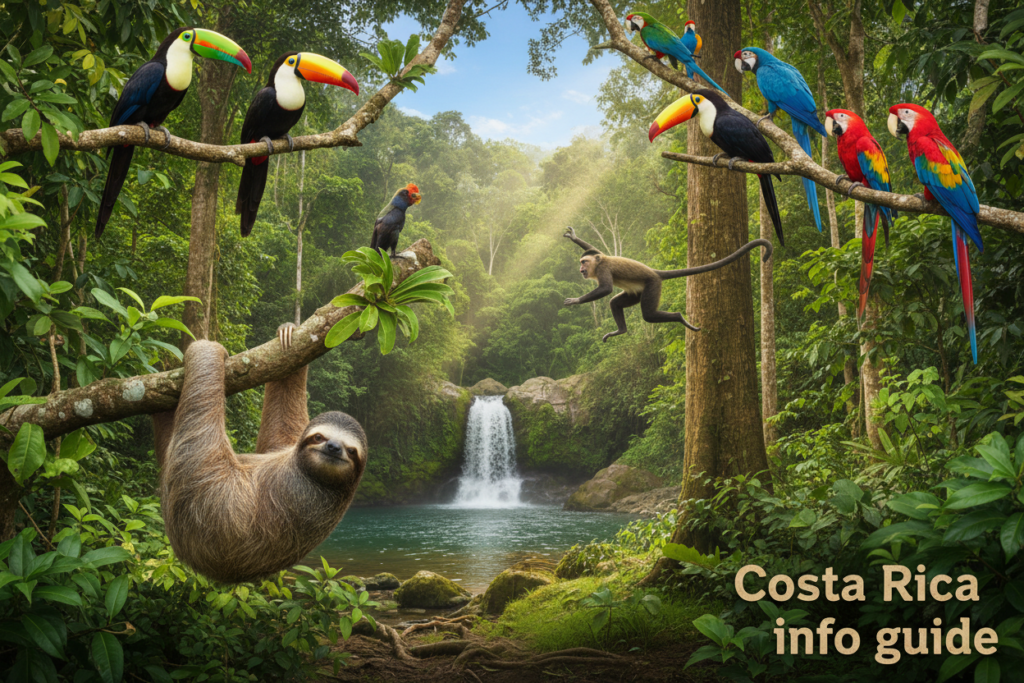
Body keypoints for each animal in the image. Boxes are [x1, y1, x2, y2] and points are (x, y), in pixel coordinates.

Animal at [152, 323, 367, 583]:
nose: (333, 448)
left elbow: (204, 466)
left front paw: (209, 350)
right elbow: (278, 434)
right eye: (319, 437)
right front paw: (289, 334)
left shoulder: (283, 487)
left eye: (351, 451)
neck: (314, 478)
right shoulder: (284, 454)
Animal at [562, 227, 772, 341]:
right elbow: (594, 248)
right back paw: (621, 330)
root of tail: (655, 272)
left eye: (583, 262)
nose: (580, 269)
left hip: (652, 285)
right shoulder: (600, 257)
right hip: (636, 293)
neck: (598, 265)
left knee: (648, 314)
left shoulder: (604, 267)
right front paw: (575, 238)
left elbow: (606, 288)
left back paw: (678, 317)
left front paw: (576, 301)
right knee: (616, 302)